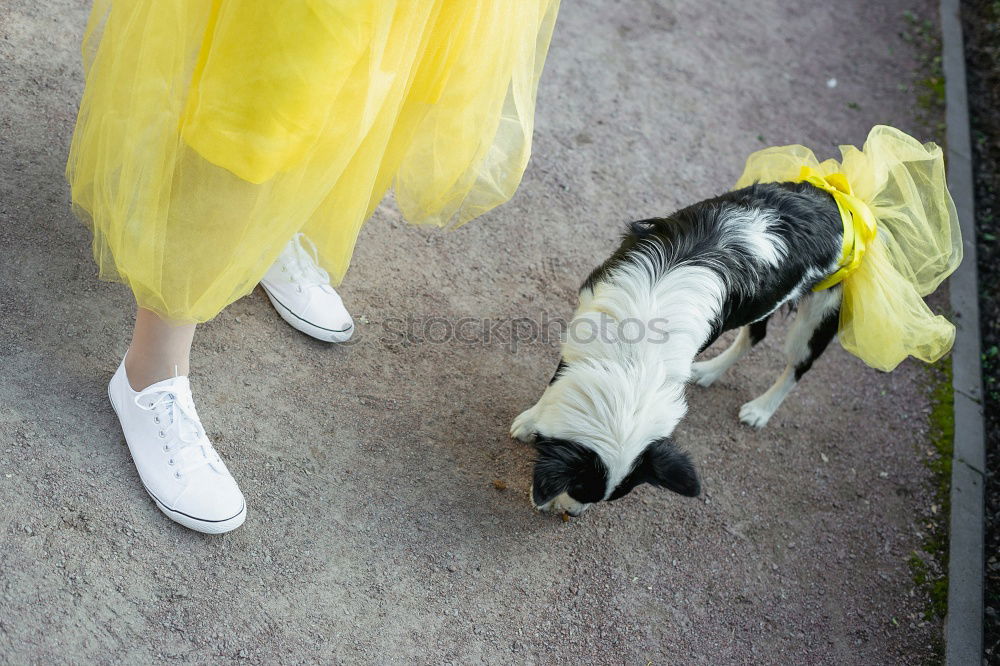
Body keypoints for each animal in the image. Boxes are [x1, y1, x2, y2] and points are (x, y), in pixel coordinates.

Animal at [512, 179, 848, 516]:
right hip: (767, 300)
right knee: (757, 334)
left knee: (798, 365)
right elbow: (557, 379)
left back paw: (761, 409)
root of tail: (832, 195)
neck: (635, 354)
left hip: (821, 312)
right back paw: (711, 371)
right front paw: (531, 421)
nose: (573, 513)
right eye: (580, 487)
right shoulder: (586, 317)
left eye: (588, 493)